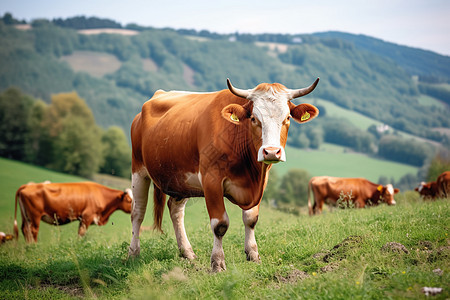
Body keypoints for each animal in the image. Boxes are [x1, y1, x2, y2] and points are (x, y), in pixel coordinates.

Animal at [128, 77, 322, 272]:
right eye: (253, 118)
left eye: (287, 118)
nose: (272, 152)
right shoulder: (211, 181)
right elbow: (220, 224)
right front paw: (217, 263)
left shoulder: (260, 184)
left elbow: (251, 219)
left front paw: (253, 255)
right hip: (138, 170)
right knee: (138, 212)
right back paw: (133, 253)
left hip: (179, 178)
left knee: (175, 211)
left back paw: (187, 253)